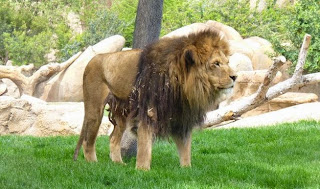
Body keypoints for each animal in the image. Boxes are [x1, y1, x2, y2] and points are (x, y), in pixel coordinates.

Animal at [74, 29, 236, 170]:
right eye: (216, 64)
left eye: (227, 62)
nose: (235, 76)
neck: (182, 85)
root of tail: (94, 58)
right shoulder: (148, 112)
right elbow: (145, 146)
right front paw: (142, 170)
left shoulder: (181, 117)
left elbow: (185, 148)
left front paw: (187, 169)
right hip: (94, 110)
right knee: (88, 141)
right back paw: (93, 164)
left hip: (122, 112)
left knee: (113, 138)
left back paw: (119, 164)